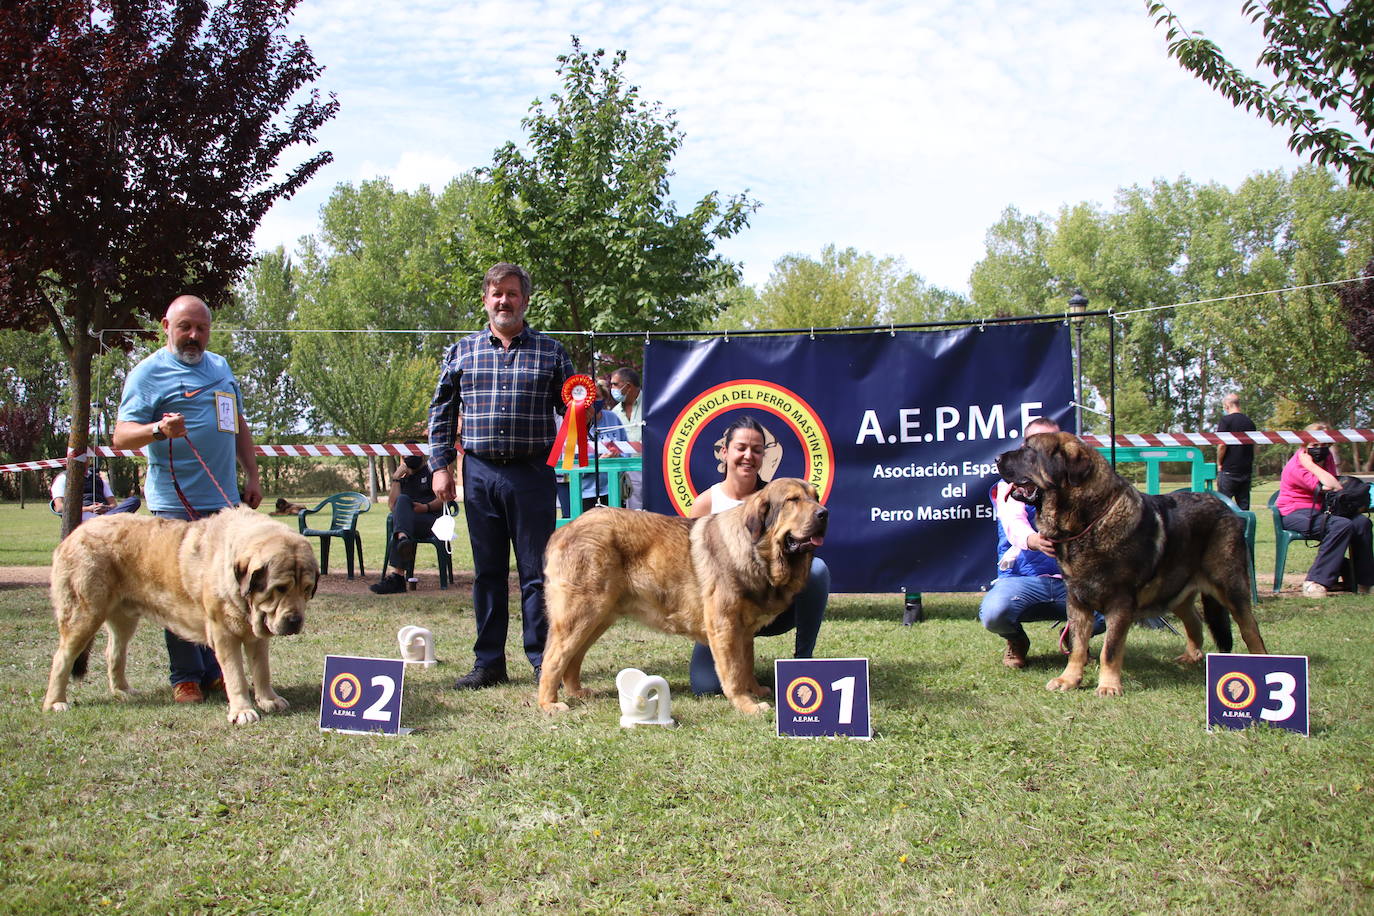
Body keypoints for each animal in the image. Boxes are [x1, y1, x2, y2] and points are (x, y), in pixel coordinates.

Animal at [44, 505, 317, 725]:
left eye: (306, 589)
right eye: (279, 588)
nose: (295, 621)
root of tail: (74, 533)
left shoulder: (256, 635)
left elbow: (262, 670)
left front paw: (269, 699)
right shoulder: (224, 635)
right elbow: (236, 676)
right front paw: (242, 711)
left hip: (124, 619)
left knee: (114, 652)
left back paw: (122, 691)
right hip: (84, 615)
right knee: (62, 657)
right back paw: (55, 702)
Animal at [535, 480, 824, 714]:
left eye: (816, 496)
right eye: (793, 500)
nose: (824, 513)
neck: (755, 550)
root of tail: (563, 530)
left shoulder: (743, 630)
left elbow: (746, 664)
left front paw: (754, 690)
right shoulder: (725, 626)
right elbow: (733, 671)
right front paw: (746, 704)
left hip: (598, 618)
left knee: (574, 658)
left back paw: (576, 691)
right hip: (581, 614)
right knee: (553, 658)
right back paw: (549, 704)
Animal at [1000, 433, 1264, 697]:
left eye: (1029, 450)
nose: (998, 458)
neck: (1090, 519)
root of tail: (1223, 506)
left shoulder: (1119, 602)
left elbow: (1110, 649)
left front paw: (1108, 686)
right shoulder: (1077, 600)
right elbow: (1077, 646)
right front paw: (1069, 679)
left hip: (1230, 586)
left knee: (1250, 630)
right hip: (1173, 589)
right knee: (1194, 619)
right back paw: (1191, 656)